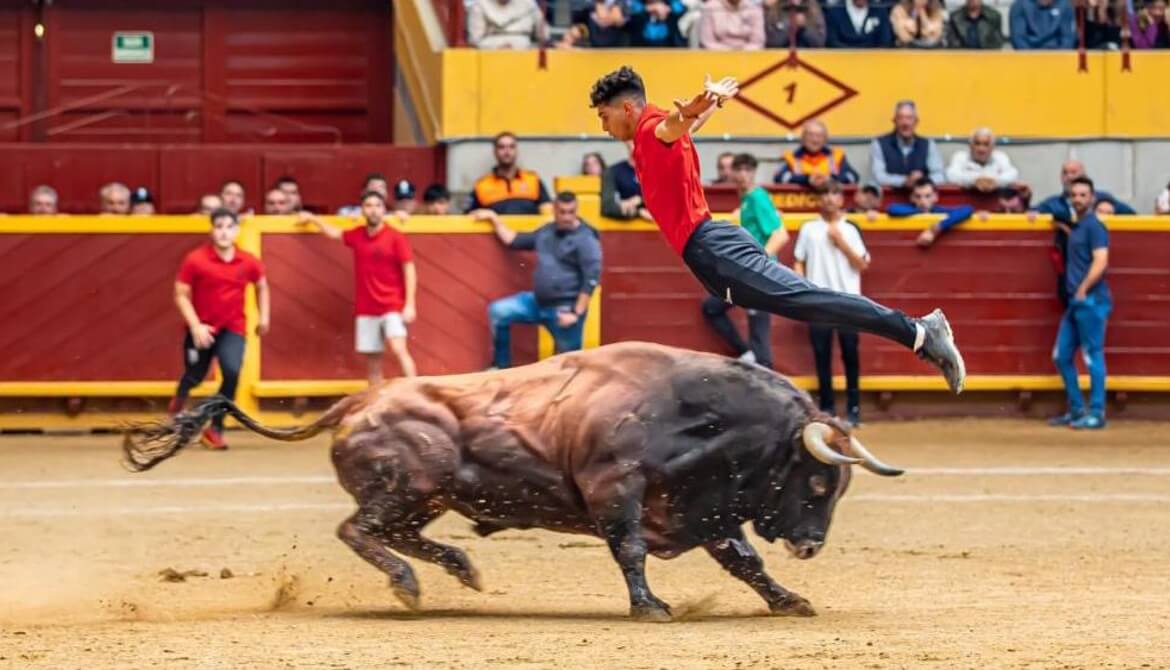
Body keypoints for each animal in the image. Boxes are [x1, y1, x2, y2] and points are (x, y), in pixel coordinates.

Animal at [128, 341, 907, 617]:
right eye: (817, 483)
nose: (811, 545)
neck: (693, 413)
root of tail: (357, 401)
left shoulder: (706, 508)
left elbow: (744, 562)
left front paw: (790, 599)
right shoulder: (617, 492)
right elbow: (629, 550)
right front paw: (649, 606)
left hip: (429, 498)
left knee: (401, 535)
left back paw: (459, 569)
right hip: (407, 486)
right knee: (358, 530)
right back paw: (409, 585)